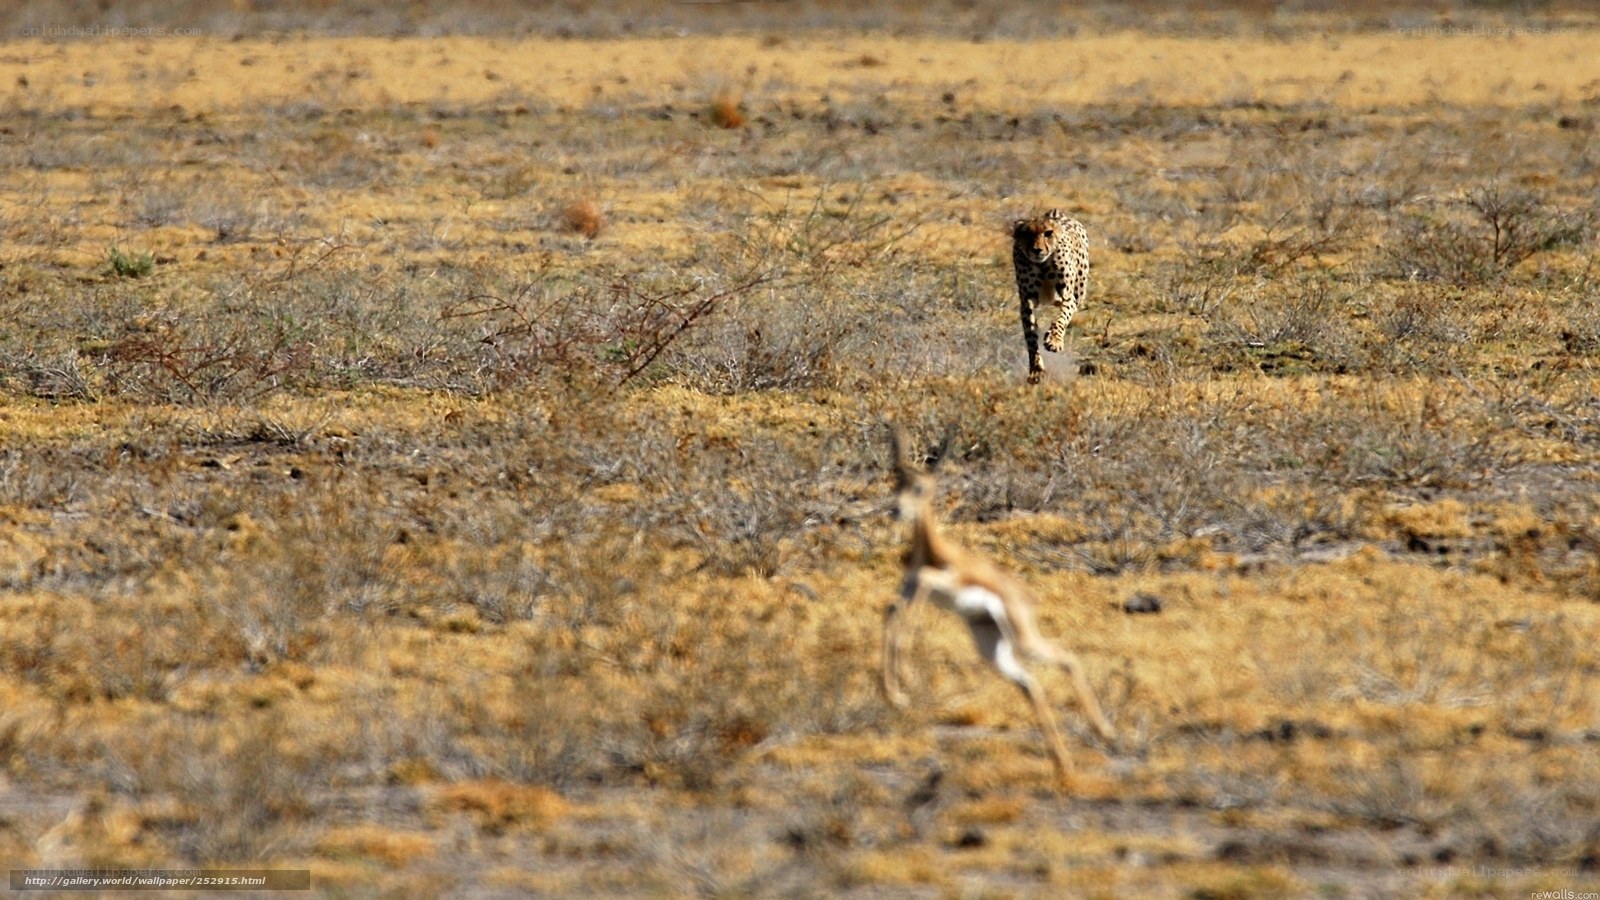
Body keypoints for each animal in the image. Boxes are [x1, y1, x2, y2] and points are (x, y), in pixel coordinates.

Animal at [882, 426, 1115, 785]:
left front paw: (904, 683)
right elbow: (892, 611)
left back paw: (1103, 734)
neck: (932, 549)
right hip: (991, 646)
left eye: (919, 487)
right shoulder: (909, 587)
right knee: (1030, 684)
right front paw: (894, 695)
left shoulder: (933, 582)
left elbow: (911, 605)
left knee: (1066, 656)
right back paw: (1064, 766)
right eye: (897, 483)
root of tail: (1024, 596)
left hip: (1022, 639)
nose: (896, 510)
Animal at [1011, 209, 1090, 385]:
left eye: (1048, 233)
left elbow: (1061, 319)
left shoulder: (1068, 297)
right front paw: (1036, 370)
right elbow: (1031, 337)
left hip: (1079, 293)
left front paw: (1054, 340)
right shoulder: (1026, 301)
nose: (1037, 250)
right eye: (1026, 234)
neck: (1042, 265)